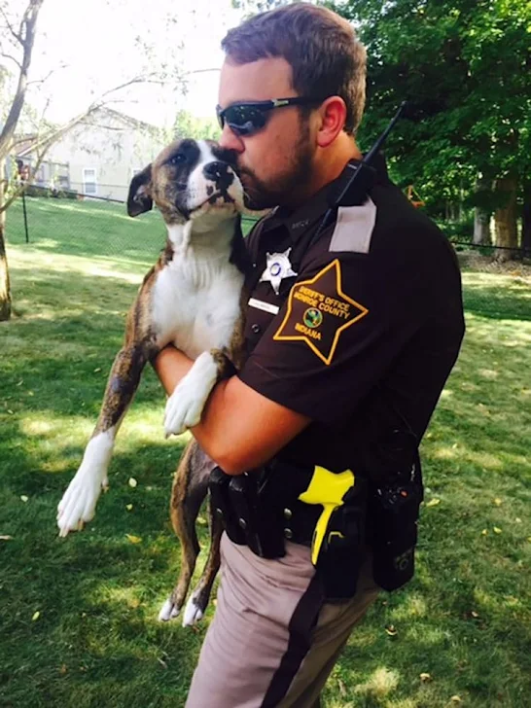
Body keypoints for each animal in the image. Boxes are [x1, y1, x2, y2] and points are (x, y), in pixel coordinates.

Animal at [57, 138, 249, 624]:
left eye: (229, 156)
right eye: (180, 157)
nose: (220, 171)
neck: (201, 259)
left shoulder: (241, 355)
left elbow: (211, 355)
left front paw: (184, 399)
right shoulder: (134, 350)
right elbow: (103, 429)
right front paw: (82, 490)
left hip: (221, 501)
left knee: (214, 552)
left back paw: (196, 604)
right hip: (182, 499)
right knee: (193, 548)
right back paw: (178, 600)